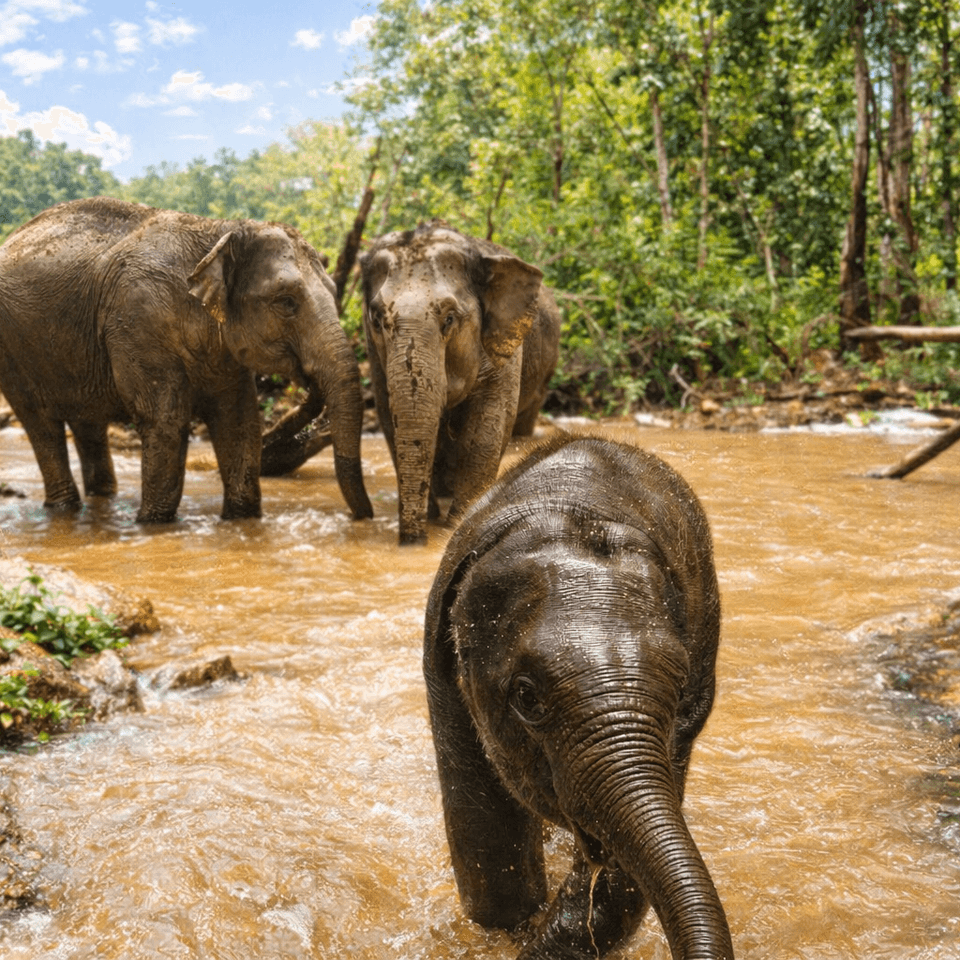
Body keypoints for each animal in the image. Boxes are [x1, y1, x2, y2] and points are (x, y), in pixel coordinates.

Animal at [0, 197, 373, 523]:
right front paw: (152, 523)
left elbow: (240, 422)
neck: (220, 231)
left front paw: (240, 519)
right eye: (286, 302)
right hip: (13, 351)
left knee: (87, 422)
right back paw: (64, 507)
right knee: (40, 423)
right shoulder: (139, 320)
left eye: (336, 292)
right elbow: (165, 420)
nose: (362, 518)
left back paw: (102, 498)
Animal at [360, 221, 560, 544]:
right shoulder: (375, 358)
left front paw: (457, 523)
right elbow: (390, 422)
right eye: (377, 320)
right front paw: (433, 517)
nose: (413, 541)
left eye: (450, 319)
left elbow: (485, 430)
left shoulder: (503, 346)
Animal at [423, 433, 733, 960]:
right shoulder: (442, 670)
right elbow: (492, 862)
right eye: (526, 697)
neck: (572, 517)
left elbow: (615, 893)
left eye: (680, 692)